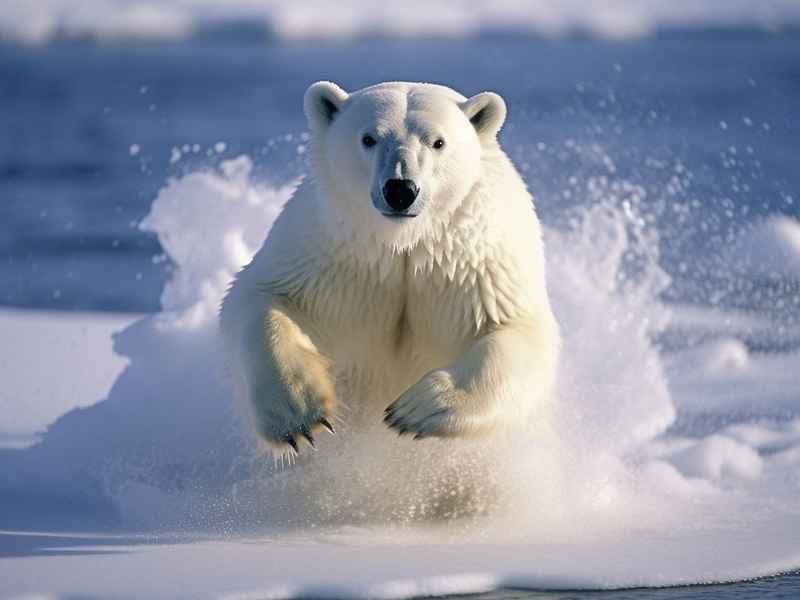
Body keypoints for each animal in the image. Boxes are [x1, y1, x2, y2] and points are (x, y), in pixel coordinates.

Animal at [220, 81, 560, 456]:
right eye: (368, 138)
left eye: (437, 141)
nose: (400, 189)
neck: (403, 244)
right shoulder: (332, 253)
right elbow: (262, 298)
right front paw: (298, 412)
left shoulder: (474, 269)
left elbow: (520, 332)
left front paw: (417, 408)